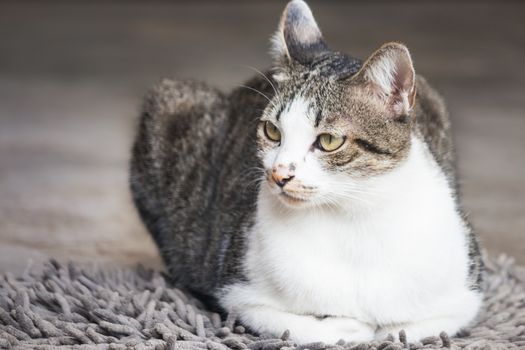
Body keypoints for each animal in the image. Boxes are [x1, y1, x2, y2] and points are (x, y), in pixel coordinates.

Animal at [129, 0, 482, 344]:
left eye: (329, 141)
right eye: (272, 131)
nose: (279, 174)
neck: (352, 217)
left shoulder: (467, 294)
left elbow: (415, 328)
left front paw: (388, 329)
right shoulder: (238, 291)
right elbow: (304, 328)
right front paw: (352, 327)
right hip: (169, 102)